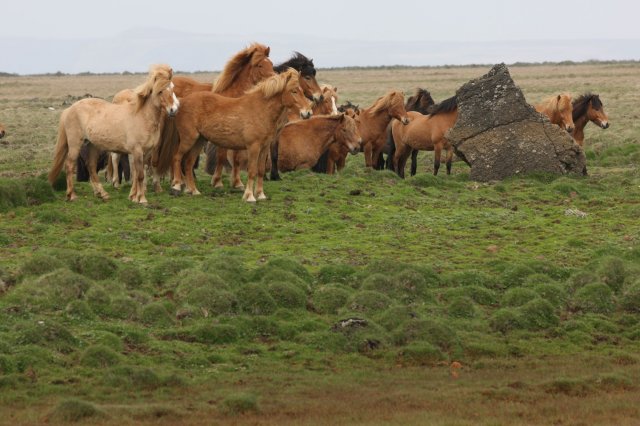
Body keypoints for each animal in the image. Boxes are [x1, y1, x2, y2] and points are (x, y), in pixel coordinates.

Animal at [48, 64, 179, 204]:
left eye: (172, 88)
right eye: (160, 91)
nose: (173, 109)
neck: (142, 116)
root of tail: (69, 109)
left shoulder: (146, 153)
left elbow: (137, 174)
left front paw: (134, 197)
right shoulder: (137, 151)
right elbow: (140, 176)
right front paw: (142, 199)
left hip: (92, 145)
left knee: (91, 166)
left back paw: (102, 194)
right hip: (75, 144)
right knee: (69, 165)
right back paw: (71, 195)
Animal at [158, 69, 312, 202]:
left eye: (301, 90)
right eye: (294, 91)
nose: (308, 112)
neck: (260, 109)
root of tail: (181, 102)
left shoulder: (264, 148)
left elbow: (261, 171)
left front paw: (260, 194)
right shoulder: (253, 147)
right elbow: (252, 171)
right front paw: (249, 196)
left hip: (199, 141)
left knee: (188, 163)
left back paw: (193, 191)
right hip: (188, 139)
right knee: (177, 158)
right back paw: (177, 186)